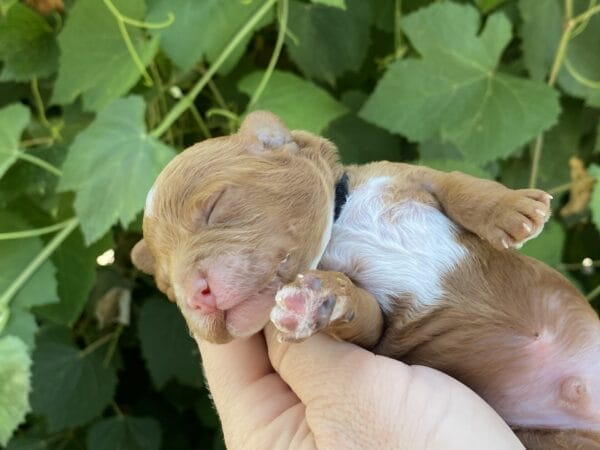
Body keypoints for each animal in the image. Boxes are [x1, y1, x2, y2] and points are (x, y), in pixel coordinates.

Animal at [134, 110, 600, 448]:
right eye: (167, 286)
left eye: (216, 205)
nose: (195, 297)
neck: (341, 221)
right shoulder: (381, 330)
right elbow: (364, 315)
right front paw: (317, 301)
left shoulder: (407, 174)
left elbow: (459, 183)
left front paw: (513, 208)